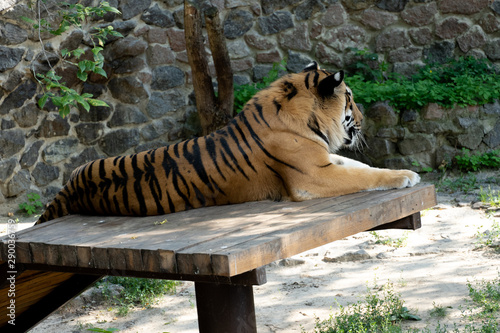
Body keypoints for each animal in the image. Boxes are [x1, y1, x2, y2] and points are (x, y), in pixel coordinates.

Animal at [35, 61, 420, 224]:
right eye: (351, 99)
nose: (366, 118)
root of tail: (68, 187)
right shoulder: (314, 176)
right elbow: (365, 175)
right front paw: (406, 176)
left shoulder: (325, 161)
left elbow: (362, 165)